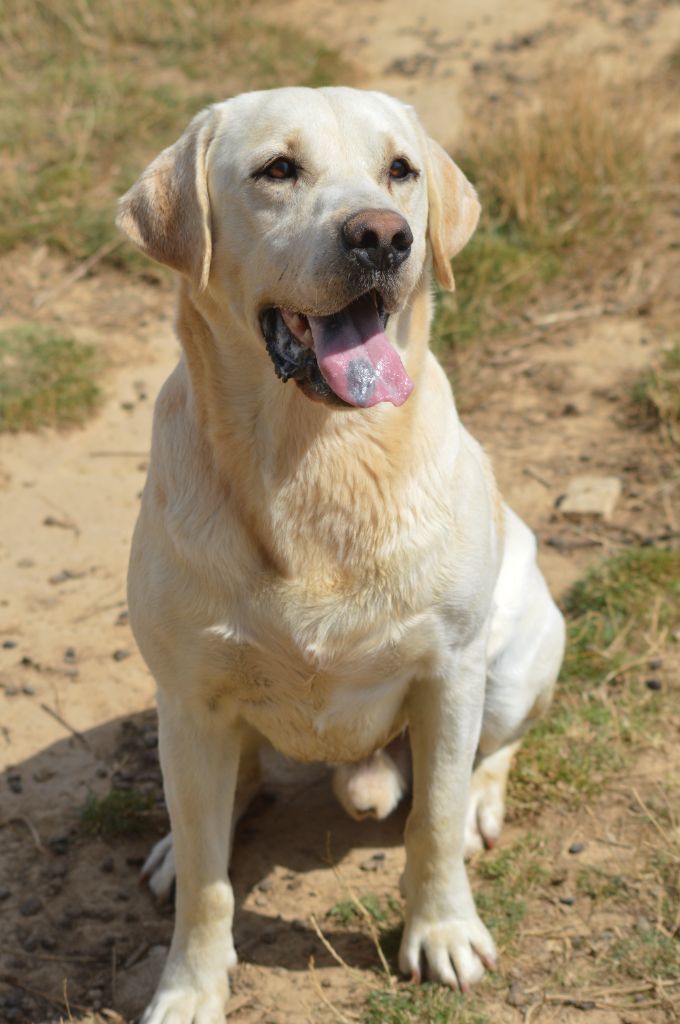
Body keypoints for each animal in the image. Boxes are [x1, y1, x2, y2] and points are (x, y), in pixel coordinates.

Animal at [119, 88, 565, 1024]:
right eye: (278, 170)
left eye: (401, 169)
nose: (383, 237)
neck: (317, 458)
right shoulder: (190, 694)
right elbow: (210, 884)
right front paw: (190, 985)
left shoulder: (449, 672)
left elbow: (431, 822)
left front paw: (442, 932)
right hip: (190, 715)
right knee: (221, 794)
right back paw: (181, 841)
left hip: (512, 662)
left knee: (490, 752)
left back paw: (480, 803)